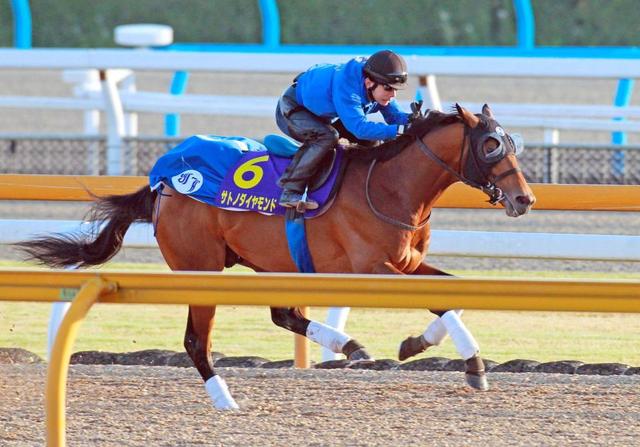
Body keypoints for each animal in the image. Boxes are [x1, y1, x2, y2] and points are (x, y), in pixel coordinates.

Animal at [17, 104, 536, 410]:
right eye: (491, 145)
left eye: (514, 143)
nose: (524, 199)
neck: (391, 187)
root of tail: (164, 180)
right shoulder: (373, 268)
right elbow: (440, 299)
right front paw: (465, 363)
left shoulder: (405, 264)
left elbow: (452, 295)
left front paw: (430, 350)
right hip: (201, 267)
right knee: (196, 340)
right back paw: (224, 398)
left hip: (271, 264)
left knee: (283, 314)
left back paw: (349, 346)